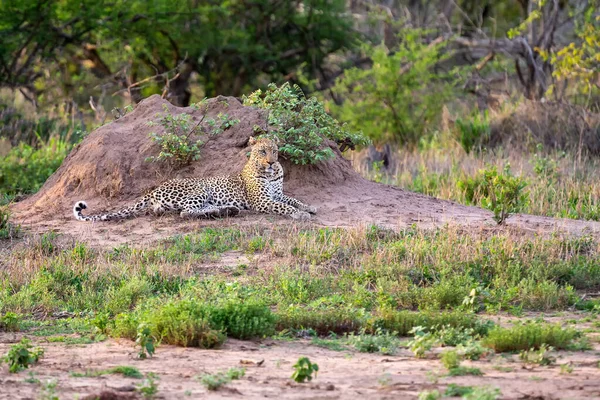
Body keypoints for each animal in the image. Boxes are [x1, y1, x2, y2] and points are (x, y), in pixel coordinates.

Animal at [72, 136, 316, 220]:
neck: (271, 174)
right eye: (262, 152)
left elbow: (292, 199)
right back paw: (220, 212)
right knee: (186, 212)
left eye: (274, 151)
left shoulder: (278, 194)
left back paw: (226, 210)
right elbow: (285, 207)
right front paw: (301, 214)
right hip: (199, 190)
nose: (271, 162)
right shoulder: (262, 200)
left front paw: (309, 207)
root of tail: (155, 189)